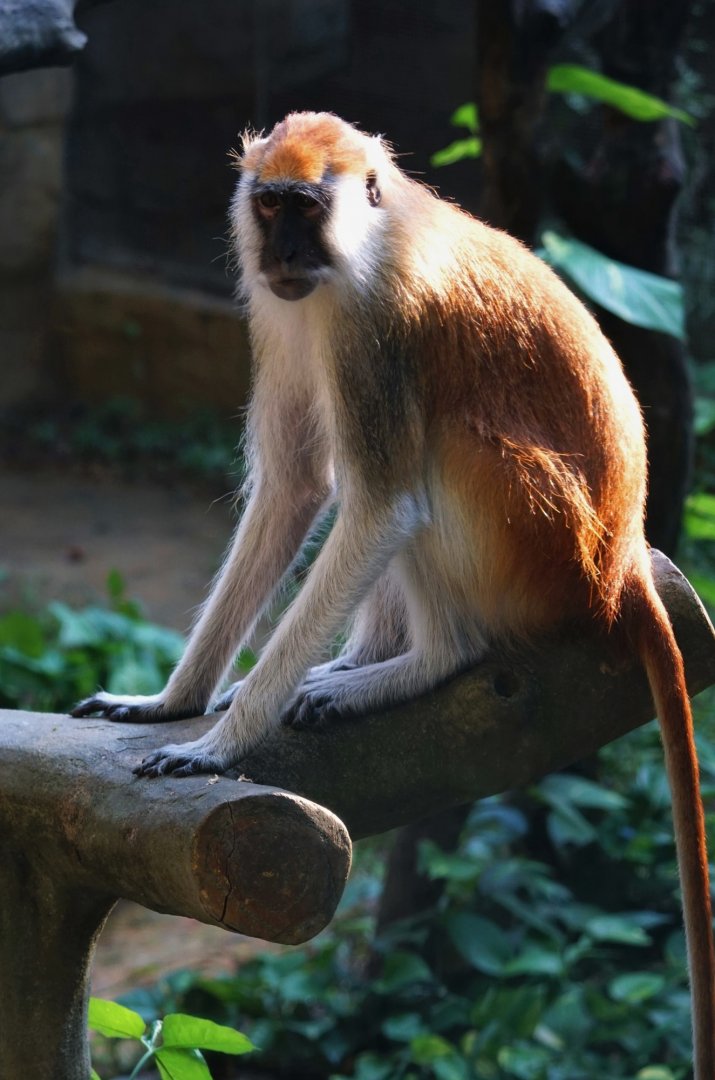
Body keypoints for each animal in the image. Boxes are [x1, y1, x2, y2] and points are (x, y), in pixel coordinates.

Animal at [72, 111, 714, 1075]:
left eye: (308, 208)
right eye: (270, 205)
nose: (284, 251)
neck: (363, 244)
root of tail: (620, 562)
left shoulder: (375, 328)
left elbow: (380, 508)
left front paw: (222, 743)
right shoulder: (287, 313)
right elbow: (297, 487)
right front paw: (173, 703)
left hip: (532, 539)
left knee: (431, 460)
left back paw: (419, 665)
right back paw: (354, 664)